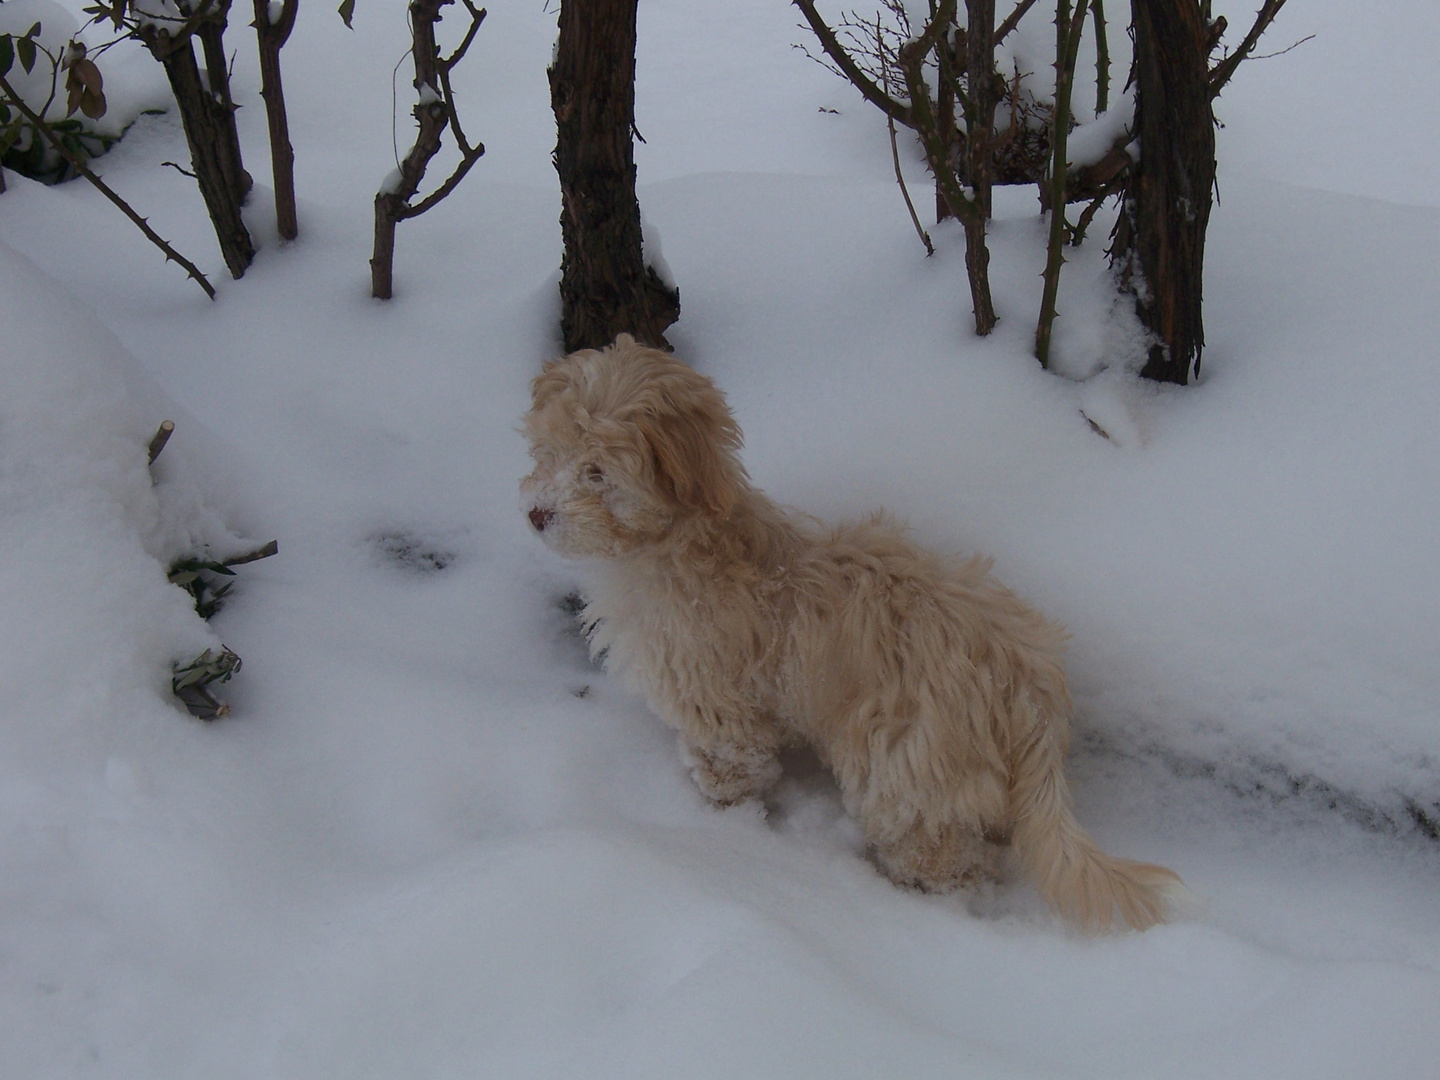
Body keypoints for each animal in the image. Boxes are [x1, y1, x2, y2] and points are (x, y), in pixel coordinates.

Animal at [524, 334, 1186, 933]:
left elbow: (730, 764)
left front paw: (717, 820)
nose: (536, 514)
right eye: (549, 454)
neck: (683, 542)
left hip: (908, 764)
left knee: (942, 853)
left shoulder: (716, 704)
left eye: (597, 473)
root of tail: (1024, 677)